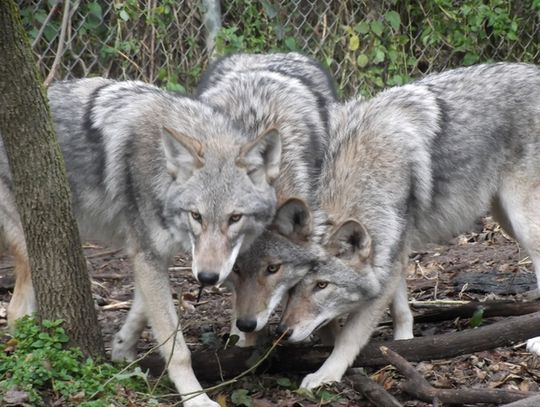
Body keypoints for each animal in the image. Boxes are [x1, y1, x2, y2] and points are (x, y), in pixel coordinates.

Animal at [1, 77, 286, 407]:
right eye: (197, 216)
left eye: (235, 218)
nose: (207, 277)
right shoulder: (147, 255)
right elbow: (177, 348)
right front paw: (196, 398)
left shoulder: (150, 255)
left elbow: (141, 310)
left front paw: (122, 351)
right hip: (33, 249)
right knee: (16, 313)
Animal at [274, 62, 540, 390]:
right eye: (292, 287)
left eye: (321, 285)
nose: (283, 332)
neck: (365, 172)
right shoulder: (395, 251)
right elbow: (401, 309)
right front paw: (404, 346)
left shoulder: (388, 259)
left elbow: (351, 335)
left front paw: (326, 373)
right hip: (506, 217)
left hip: (523, 221)